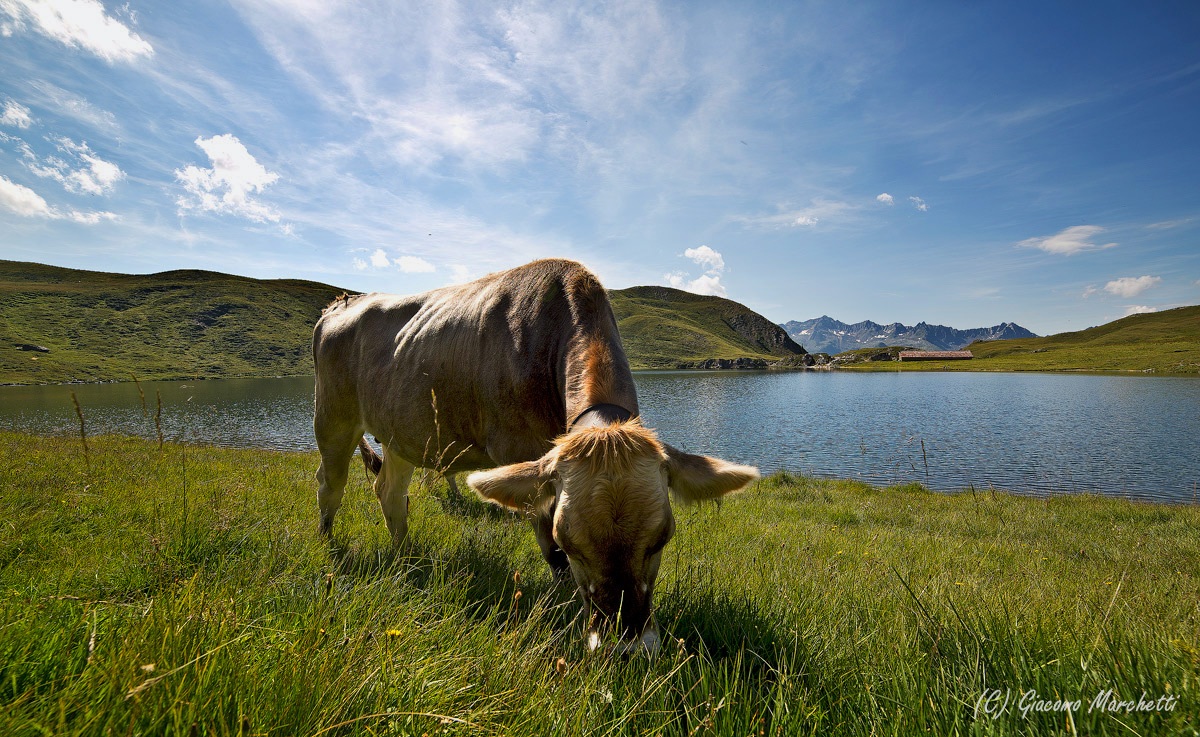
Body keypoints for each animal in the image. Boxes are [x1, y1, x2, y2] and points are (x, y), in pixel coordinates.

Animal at [312, 259, 758, 653]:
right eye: (570, 541)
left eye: (662, 537)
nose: (626, 646)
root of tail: (343, 301)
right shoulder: (521, 455)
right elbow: (551, 553)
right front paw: (565, 608)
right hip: (333, 417)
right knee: (330, 484)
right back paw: (327, 545)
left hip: (401, 434)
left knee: (388, 491)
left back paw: (406, 556)